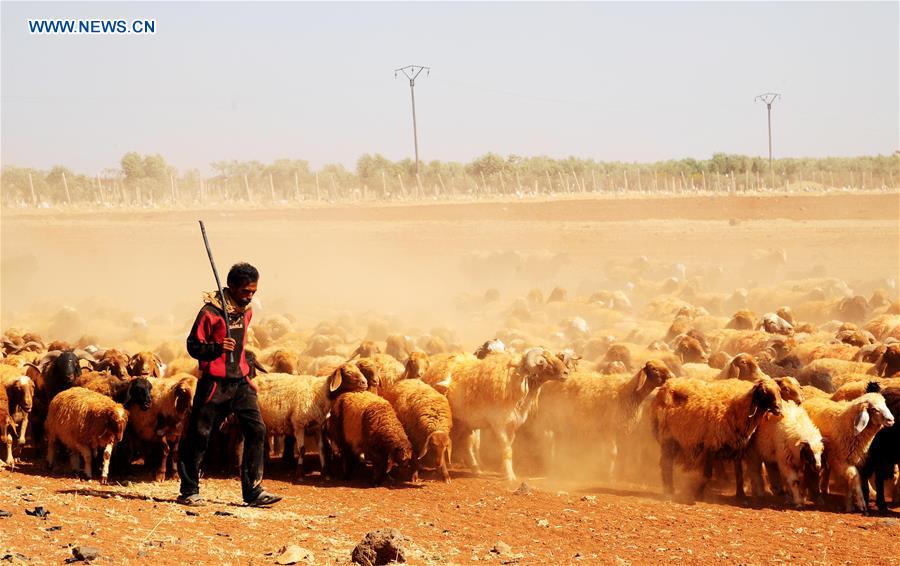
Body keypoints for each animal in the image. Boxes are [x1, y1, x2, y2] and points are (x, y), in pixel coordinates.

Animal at [652, 378, 784, 502]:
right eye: (764, 392)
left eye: (779, 391)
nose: (779, 409)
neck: (736, 409)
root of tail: (665, 386)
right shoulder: (711, 445)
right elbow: (707, 474)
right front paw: (697, 494)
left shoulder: (737, 448)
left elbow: (739, 474)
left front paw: (741, 495)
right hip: (668, 437)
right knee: (666, 463)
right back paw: (669, 490)